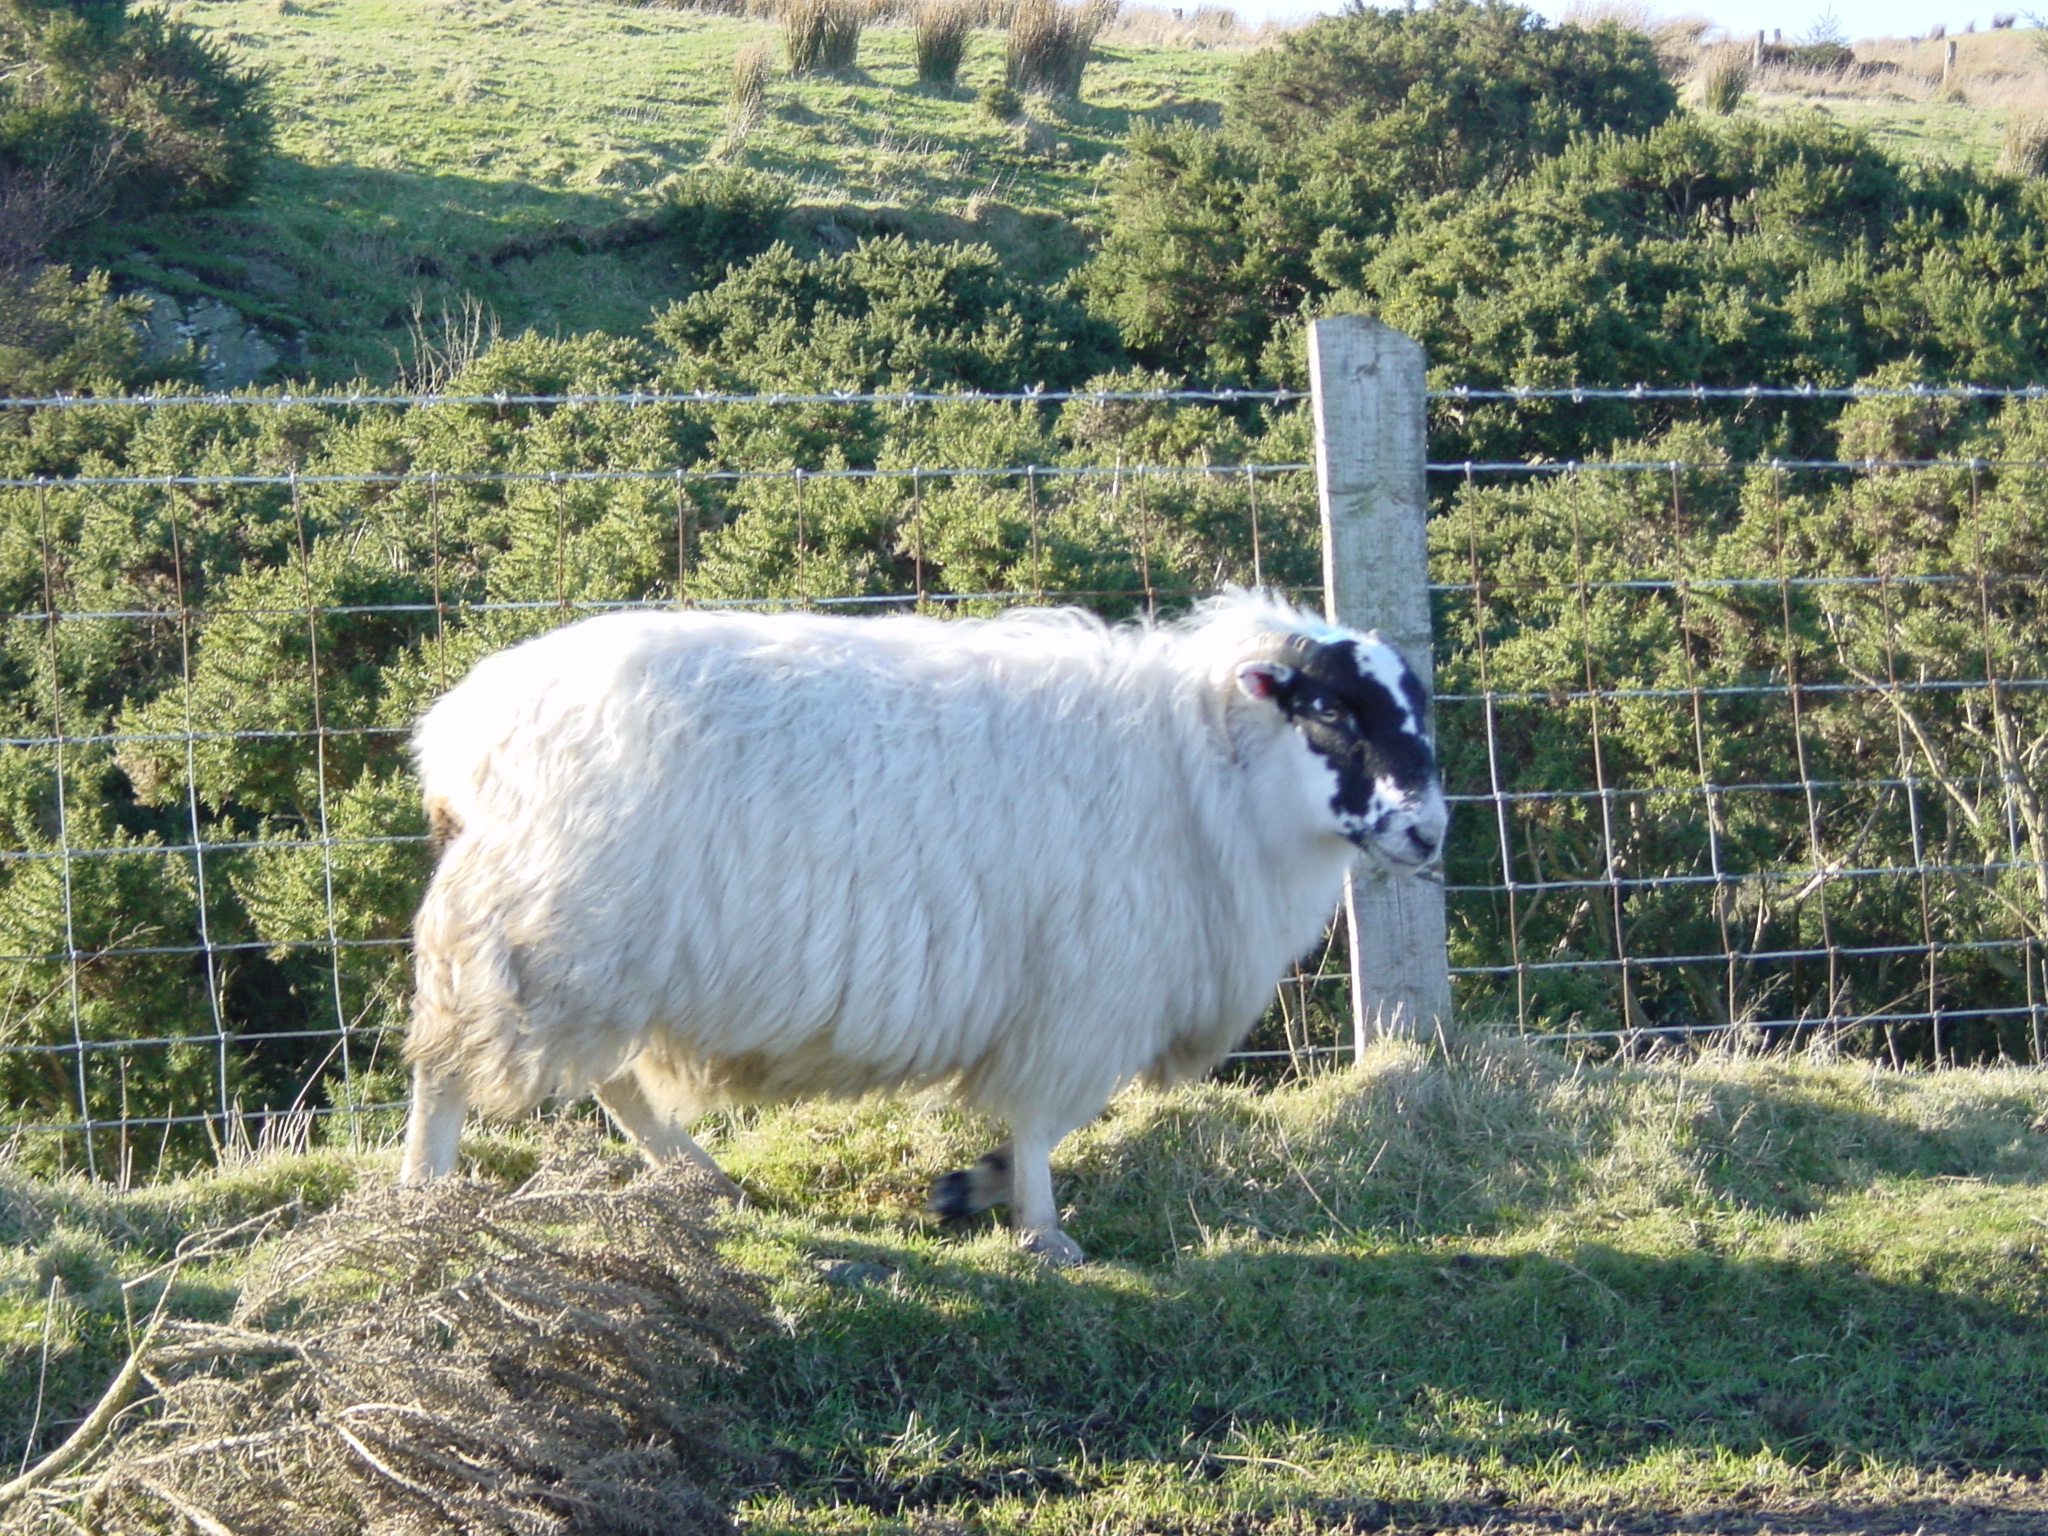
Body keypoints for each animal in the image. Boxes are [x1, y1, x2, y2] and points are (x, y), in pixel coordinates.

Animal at [395, 589, 1441, 1261]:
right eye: (1330, 710)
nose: (1431, 830)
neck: (1197, 761)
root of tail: (457, 735)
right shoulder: (1082, 988)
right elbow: (1046, 1115)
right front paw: (1041, 1228)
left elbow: (1048, 1119)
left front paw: (977, 1186)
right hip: (541, 932)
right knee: (451, 1067)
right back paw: (425, 1194)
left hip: (596, 951)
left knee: (612, 1080)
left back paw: (704, 1180)